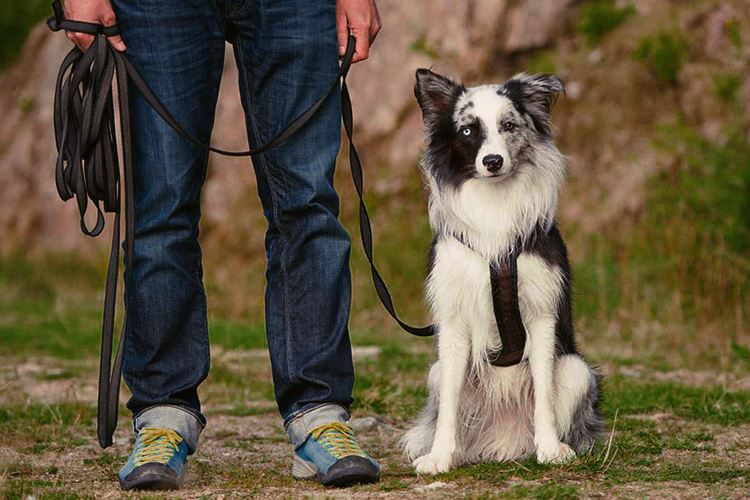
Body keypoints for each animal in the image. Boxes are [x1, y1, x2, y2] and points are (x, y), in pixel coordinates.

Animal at [402, 69, 604, 472]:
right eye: (467, 130)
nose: (493, 161)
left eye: (508, 125)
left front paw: (550, 449)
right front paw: (440, 456)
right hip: (436, 372)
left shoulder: (541, 314)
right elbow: (449, 405)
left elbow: (543, 392)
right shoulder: (454, 319)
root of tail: (504, 441)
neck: (493, 204)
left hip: (577, 370)